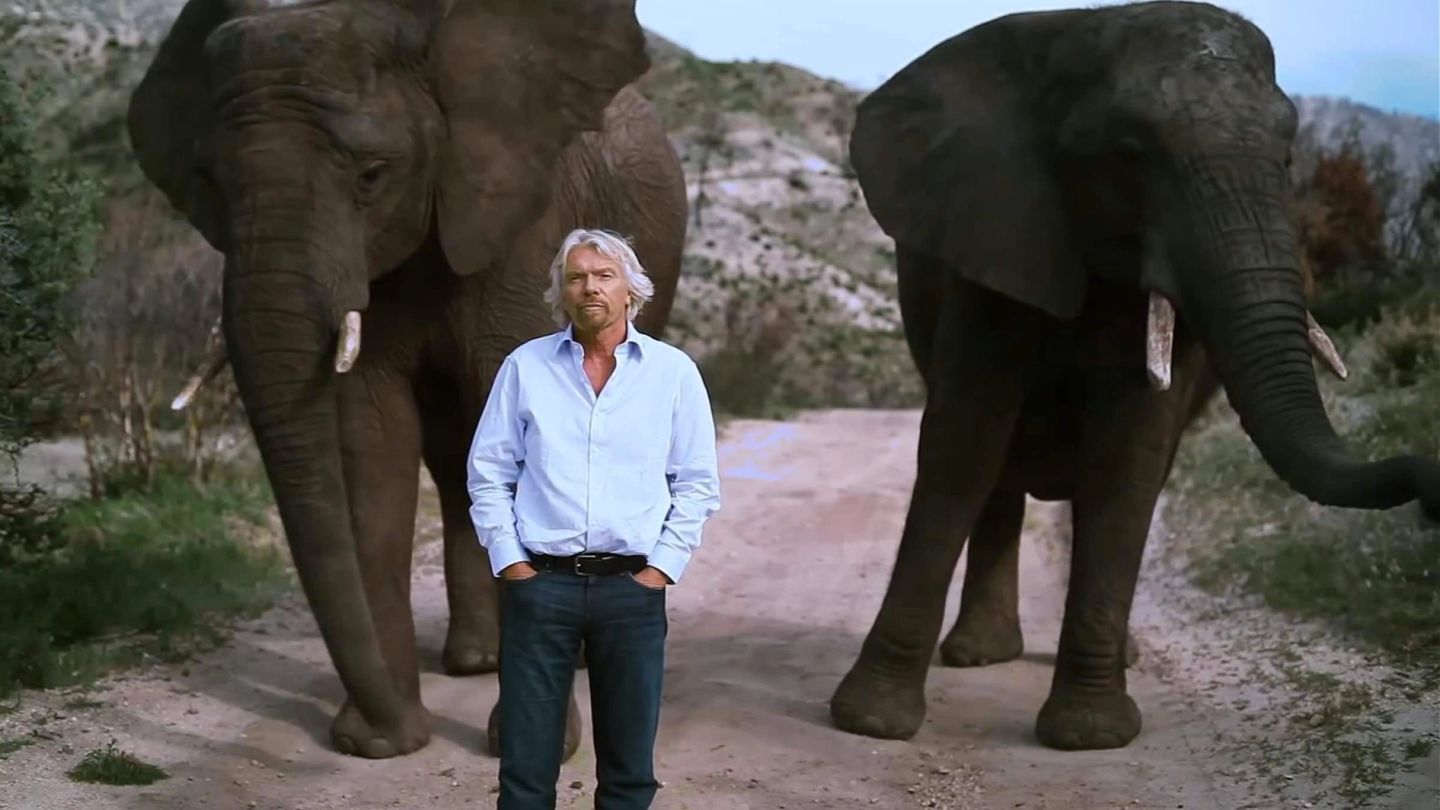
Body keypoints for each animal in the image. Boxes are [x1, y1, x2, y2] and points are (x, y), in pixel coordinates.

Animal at [128, 0, 687, 759]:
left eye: (371, 175)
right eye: (208, 182)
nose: (388, 720)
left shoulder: (523, 220)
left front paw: (527, 741)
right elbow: (371, 444)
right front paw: (376, 743)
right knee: (455, 459)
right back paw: (475, 658)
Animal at [830, 0, 1440, 752]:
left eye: (1288, 157)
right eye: (1127, 154)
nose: (1433, 495)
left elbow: (1128, 458)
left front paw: (1088, 736)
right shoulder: (998, 232)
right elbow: (965, 441)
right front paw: (870, 723)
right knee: (999, 470)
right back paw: (980, 655)